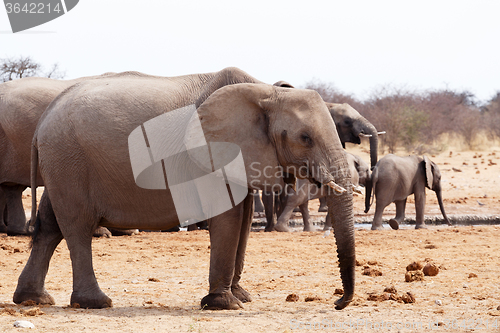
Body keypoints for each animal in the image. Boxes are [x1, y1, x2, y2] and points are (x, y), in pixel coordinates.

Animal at [11, 68, 356, 310]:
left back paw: (33, 300)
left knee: (50, 225)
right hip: (69, 160)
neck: (264, 91)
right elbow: (229, 219)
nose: (338, 302)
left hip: (62, 163)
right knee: (77, 227)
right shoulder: (213, 150)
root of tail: (44, 118)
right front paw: (225, 304)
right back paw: (95, 302)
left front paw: (241, 297)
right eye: (305, 138)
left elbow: (243, 219)